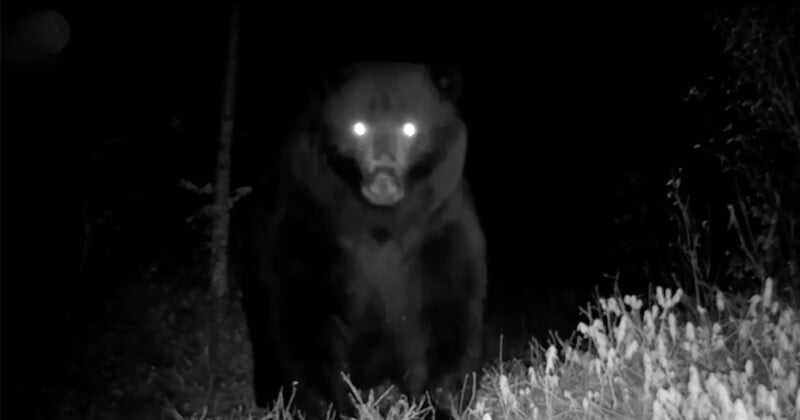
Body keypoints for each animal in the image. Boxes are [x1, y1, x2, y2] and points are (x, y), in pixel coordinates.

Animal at [232, 61, 487, 419]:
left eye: (410, 127)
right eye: (358, 127)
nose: (383, 180)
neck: (380, 222)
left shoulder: (439, 223)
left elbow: (449, 309)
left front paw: (437, 403)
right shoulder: (307, 218)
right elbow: (300, 314)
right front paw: (332, 407)